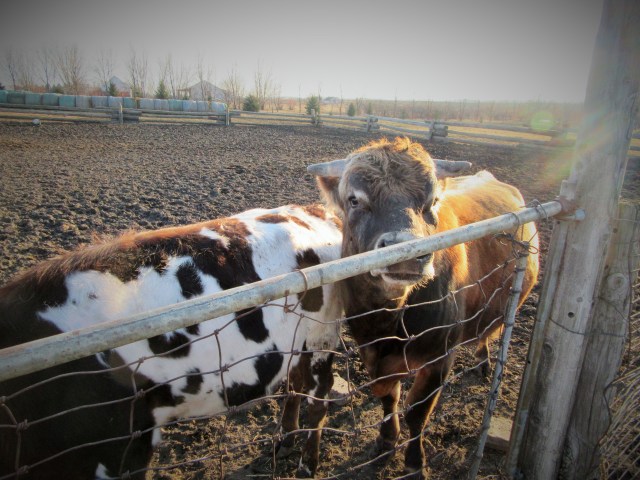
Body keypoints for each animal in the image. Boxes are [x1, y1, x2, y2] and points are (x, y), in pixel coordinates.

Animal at [0, 204, 343, 479]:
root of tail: (316, 211)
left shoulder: (121, 445)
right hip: (297, 342)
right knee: (295, 383)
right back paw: (284, 440)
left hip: (323, 332)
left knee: (318, 396)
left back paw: (307, 465)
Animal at [308, 137, 539, 478]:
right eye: (354, 200)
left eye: (431, 201)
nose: (404, 252)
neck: (390, 321)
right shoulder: (370, 352)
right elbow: (390, 399)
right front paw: (386, 440)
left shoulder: (440, 358)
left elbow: (417, 412)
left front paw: (415, 462)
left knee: (487, 332)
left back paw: (484, 362)